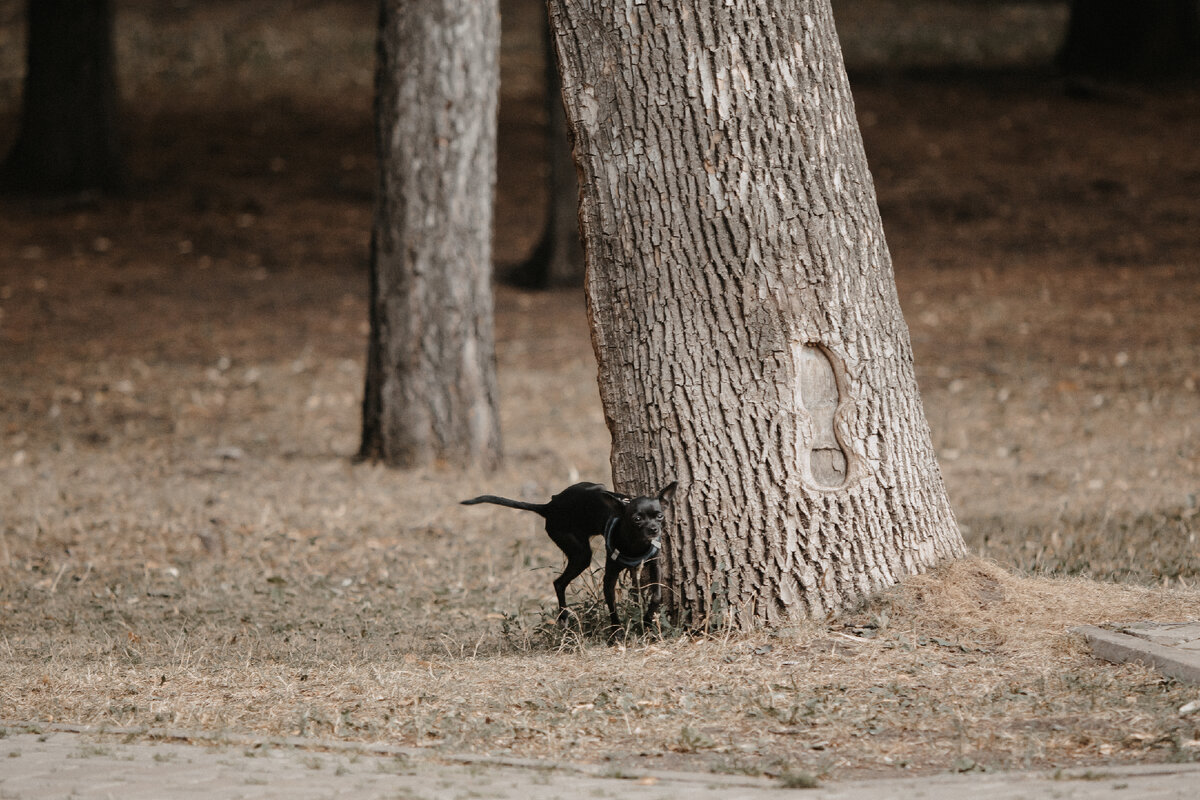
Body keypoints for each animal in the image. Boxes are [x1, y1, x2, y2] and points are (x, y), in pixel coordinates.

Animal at [463, 482, 681, 633]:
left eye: (659, 515)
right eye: (637, 519)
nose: (653, 529)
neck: (636, 544)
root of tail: (549, 506)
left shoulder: (655, 564)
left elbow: (656, 595)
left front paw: (647, 620)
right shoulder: (609, 578)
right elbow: (612, 607)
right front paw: (617, 633)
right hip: (581, 555)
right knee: (559, 583)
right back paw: (563, 617)